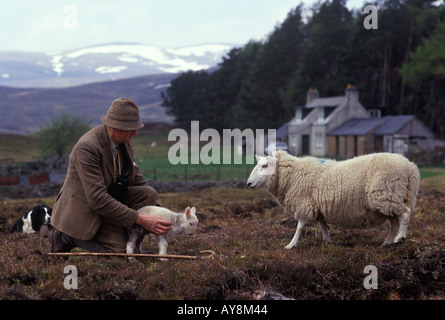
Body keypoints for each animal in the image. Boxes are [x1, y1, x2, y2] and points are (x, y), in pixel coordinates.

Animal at [248, 151, 418, 249]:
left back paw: (400, 238)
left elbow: (300, 227)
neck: (291, 176)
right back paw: (387, 242)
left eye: (265, 165)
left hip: (386, 195)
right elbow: (323, 225)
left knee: (405, 214)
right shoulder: (318, 205)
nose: (248, 183)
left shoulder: (304, 204)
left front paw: (291, 245)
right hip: (390, 199)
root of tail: (410, 166)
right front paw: (327, 241)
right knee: (394, 222)